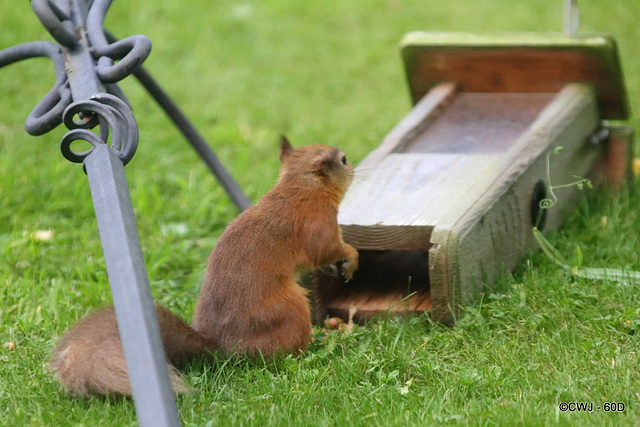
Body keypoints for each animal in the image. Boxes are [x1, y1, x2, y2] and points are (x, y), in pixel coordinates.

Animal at [48, 137, 360, 394]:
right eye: (343, 159)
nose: (355, 167)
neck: (301, 186)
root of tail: (225, 349)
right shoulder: (318, 224)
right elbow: (328, 248)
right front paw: (352, 256)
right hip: (290, 307)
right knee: (286, 353)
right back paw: (318, 341)